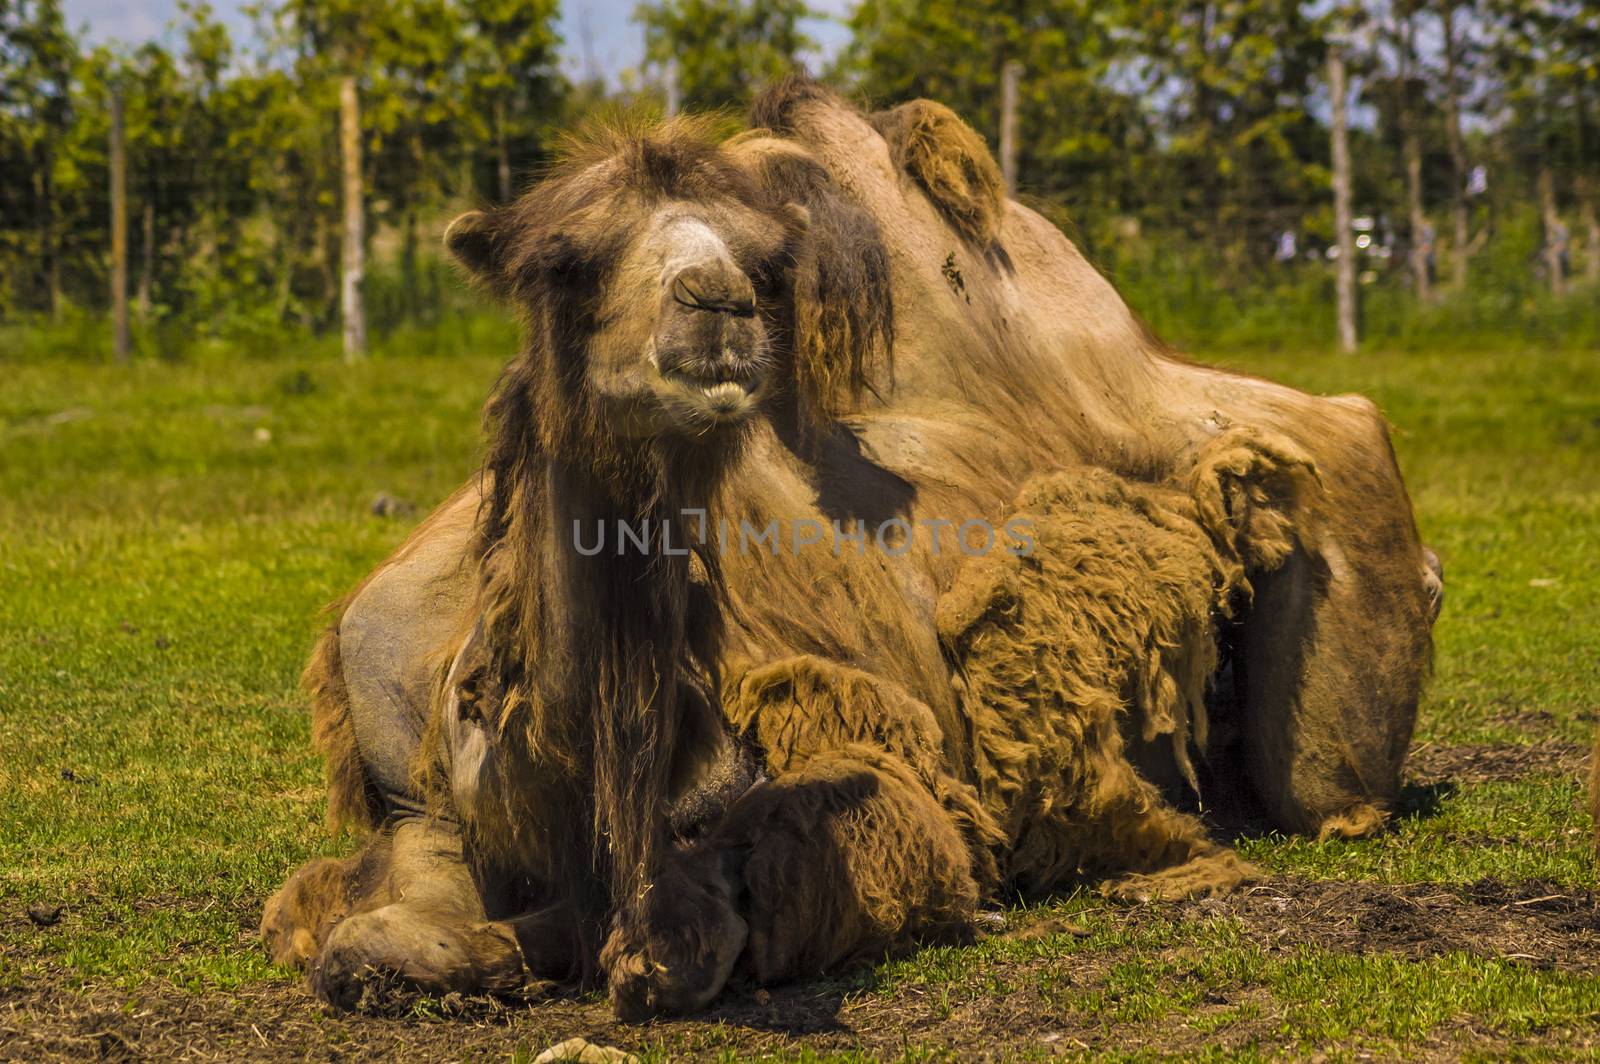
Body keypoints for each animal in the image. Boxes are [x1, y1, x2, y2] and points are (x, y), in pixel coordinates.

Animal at [259, 78, 1440, 1017]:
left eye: (759, 263)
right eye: (566, 260)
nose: (718, 305)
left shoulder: (844, 753)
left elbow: (714, 915)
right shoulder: (414, 796)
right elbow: (368, 940)